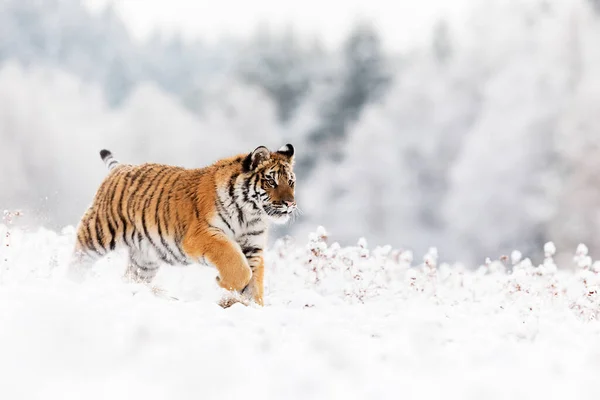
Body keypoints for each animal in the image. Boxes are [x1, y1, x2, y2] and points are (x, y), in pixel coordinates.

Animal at [67, 145, 298, 306]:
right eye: (271, 181)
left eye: (291, 182)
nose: (290, 203)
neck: (250, 213)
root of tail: (122, 167)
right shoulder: (202, 234)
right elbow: (236, 264)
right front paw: (226, 284)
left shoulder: (252, 247)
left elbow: (255, 282)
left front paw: (247, 305)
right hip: (98, 233)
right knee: (77, 262)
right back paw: (69, 285)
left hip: (144, 260)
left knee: (130, 278)